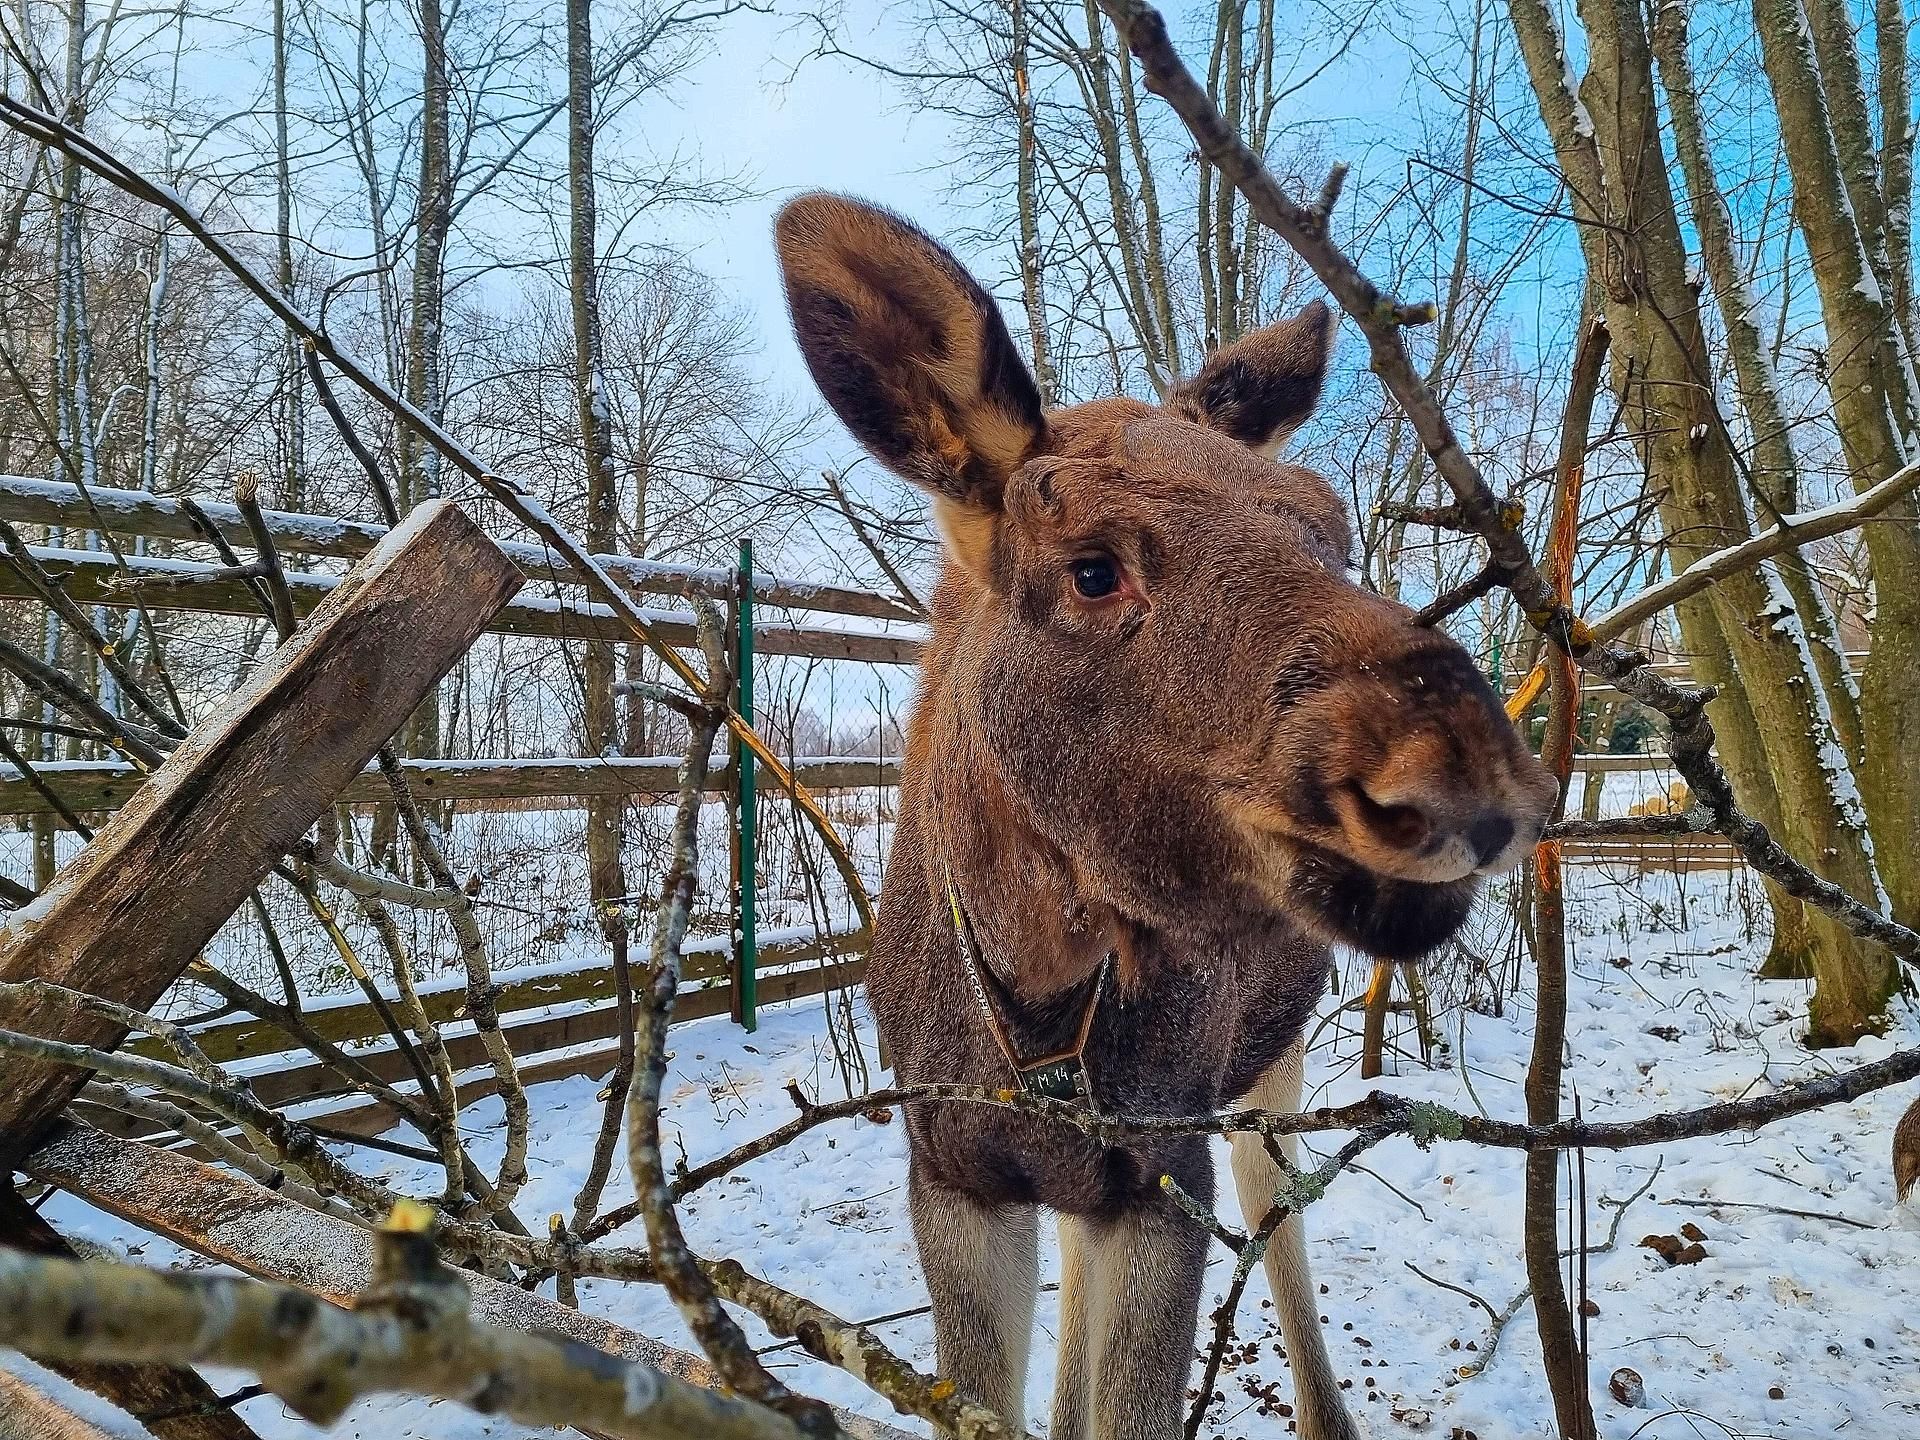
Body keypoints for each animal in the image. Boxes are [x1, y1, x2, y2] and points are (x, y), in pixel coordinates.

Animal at [771, 194, 1551, 1440]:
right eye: (1093, 569)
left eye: (1332, 529)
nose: (1467, 781)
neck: (1034, 1004)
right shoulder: (954, 1177)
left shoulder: (1162, 1165)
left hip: (1261, 1072)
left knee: (1278, 1218)